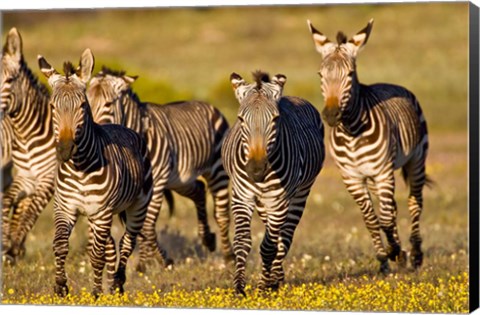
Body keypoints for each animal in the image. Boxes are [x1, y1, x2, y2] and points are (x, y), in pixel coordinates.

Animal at [38, 48, 153, 298]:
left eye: (82, 105)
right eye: (52, 107)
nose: (64, 149)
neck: (80, 167)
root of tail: (123, 126)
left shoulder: (102, 212)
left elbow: (97, 255)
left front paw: (96, 293)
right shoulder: (65, 207)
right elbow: (60, 245)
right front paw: (60, 286)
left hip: (137, 207)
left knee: (126, 243)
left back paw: (117, 284)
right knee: (111, 247)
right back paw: (112, 284)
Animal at [87, 67, 235, 272]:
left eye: (108, 104)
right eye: (86, 101)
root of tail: (208, 105)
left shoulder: (156, 184)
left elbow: (147, 225)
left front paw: (163, 260)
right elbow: (141, 226)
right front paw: (144, 263)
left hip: (216, 171)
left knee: (221, 214)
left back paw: (228, 257)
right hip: (181, 179)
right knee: (198, 190)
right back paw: (208, 239)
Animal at [223, 71, 324, 296]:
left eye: (275, 119)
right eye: (240, 119)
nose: (256, 170)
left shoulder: (279, 201)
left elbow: (269, 246)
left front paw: (264, 288)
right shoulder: (242, 197)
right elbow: (242, 242)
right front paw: (239, 288)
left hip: (299, 194)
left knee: (284, 237)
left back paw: (275, 279)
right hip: (263, 203)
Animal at [308, 19, 432, 274]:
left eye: (350, 74)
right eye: (320, 74)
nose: (331, 115)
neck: (352, 132)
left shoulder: (383, 172)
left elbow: (384, 219)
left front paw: (394, 251)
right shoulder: (353, 178)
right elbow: (372, 220)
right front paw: (385, 259)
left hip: (416, 160)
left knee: (414, 203)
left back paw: (415, 255)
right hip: (376, 177)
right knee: (392, 208)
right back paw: (401, 255)